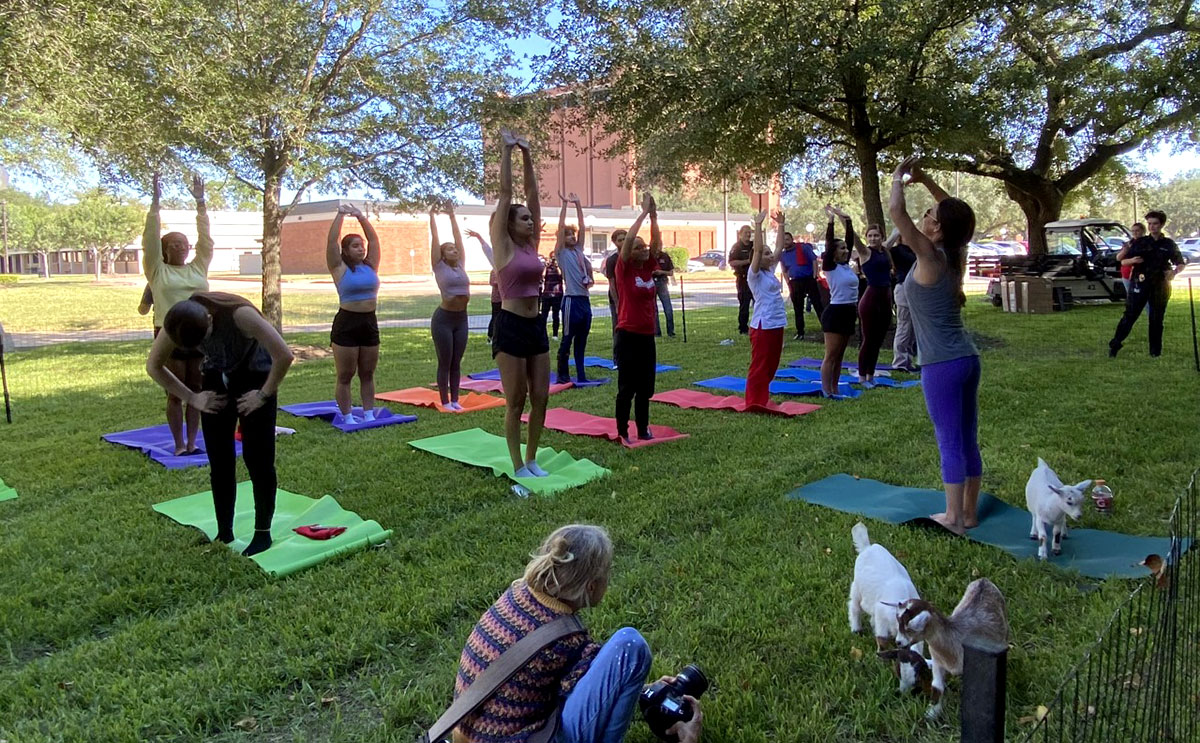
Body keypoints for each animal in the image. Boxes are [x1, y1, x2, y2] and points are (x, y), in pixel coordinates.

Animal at [844, 523, 926, 691]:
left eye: (916, 677)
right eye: (898, 671)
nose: (903, 693)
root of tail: (867, 547)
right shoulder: (882, 613)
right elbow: (881, 639)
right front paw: (880, 661)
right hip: (857, 587)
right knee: (854, 607)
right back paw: (856, 628)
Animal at [897, 578, 1008, 720]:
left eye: (909, 629)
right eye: (898, 623)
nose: (898, 642)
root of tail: (983, 580)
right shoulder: (937, 661)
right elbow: (937, 686)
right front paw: (932, 713)